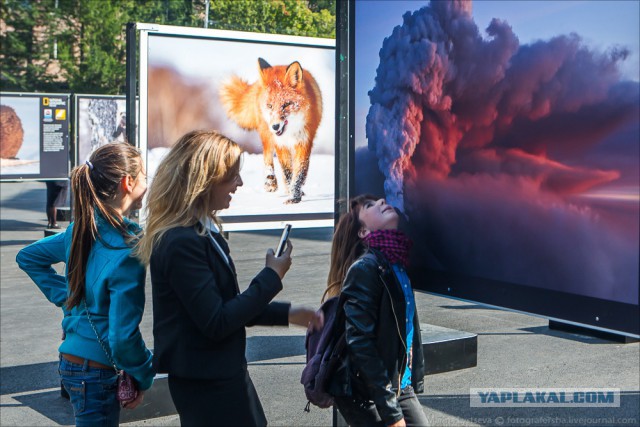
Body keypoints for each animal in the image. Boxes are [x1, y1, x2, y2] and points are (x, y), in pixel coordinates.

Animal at [220, 58, 322, 204]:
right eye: (270, 106)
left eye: (286, 104)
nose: (275, 126)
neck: (290, 132)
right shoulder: (280, 143)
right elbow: (287, 171)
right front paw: (293, 195)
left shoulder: (304, 142)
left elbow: (299, 173)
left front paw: (294, 196)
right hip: (266, 133)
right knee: (267, 155)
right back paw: (270, 181)